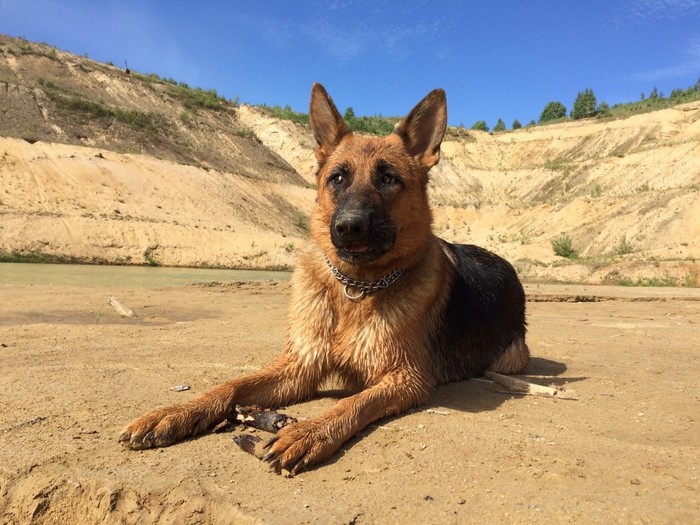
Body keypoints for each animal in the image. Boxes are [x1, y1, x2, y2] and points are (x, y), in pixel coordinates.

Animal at [120, 84, 528, 472]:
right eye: (338, 178)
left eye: (389, 179)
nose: (348, 227)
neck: (356, 287)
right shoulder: (300, 366)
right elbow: (231, 385)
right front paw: (175, 412)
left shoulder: (404, 379)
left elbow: (352, 403)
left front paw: (308, 432)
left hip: (508, 361)